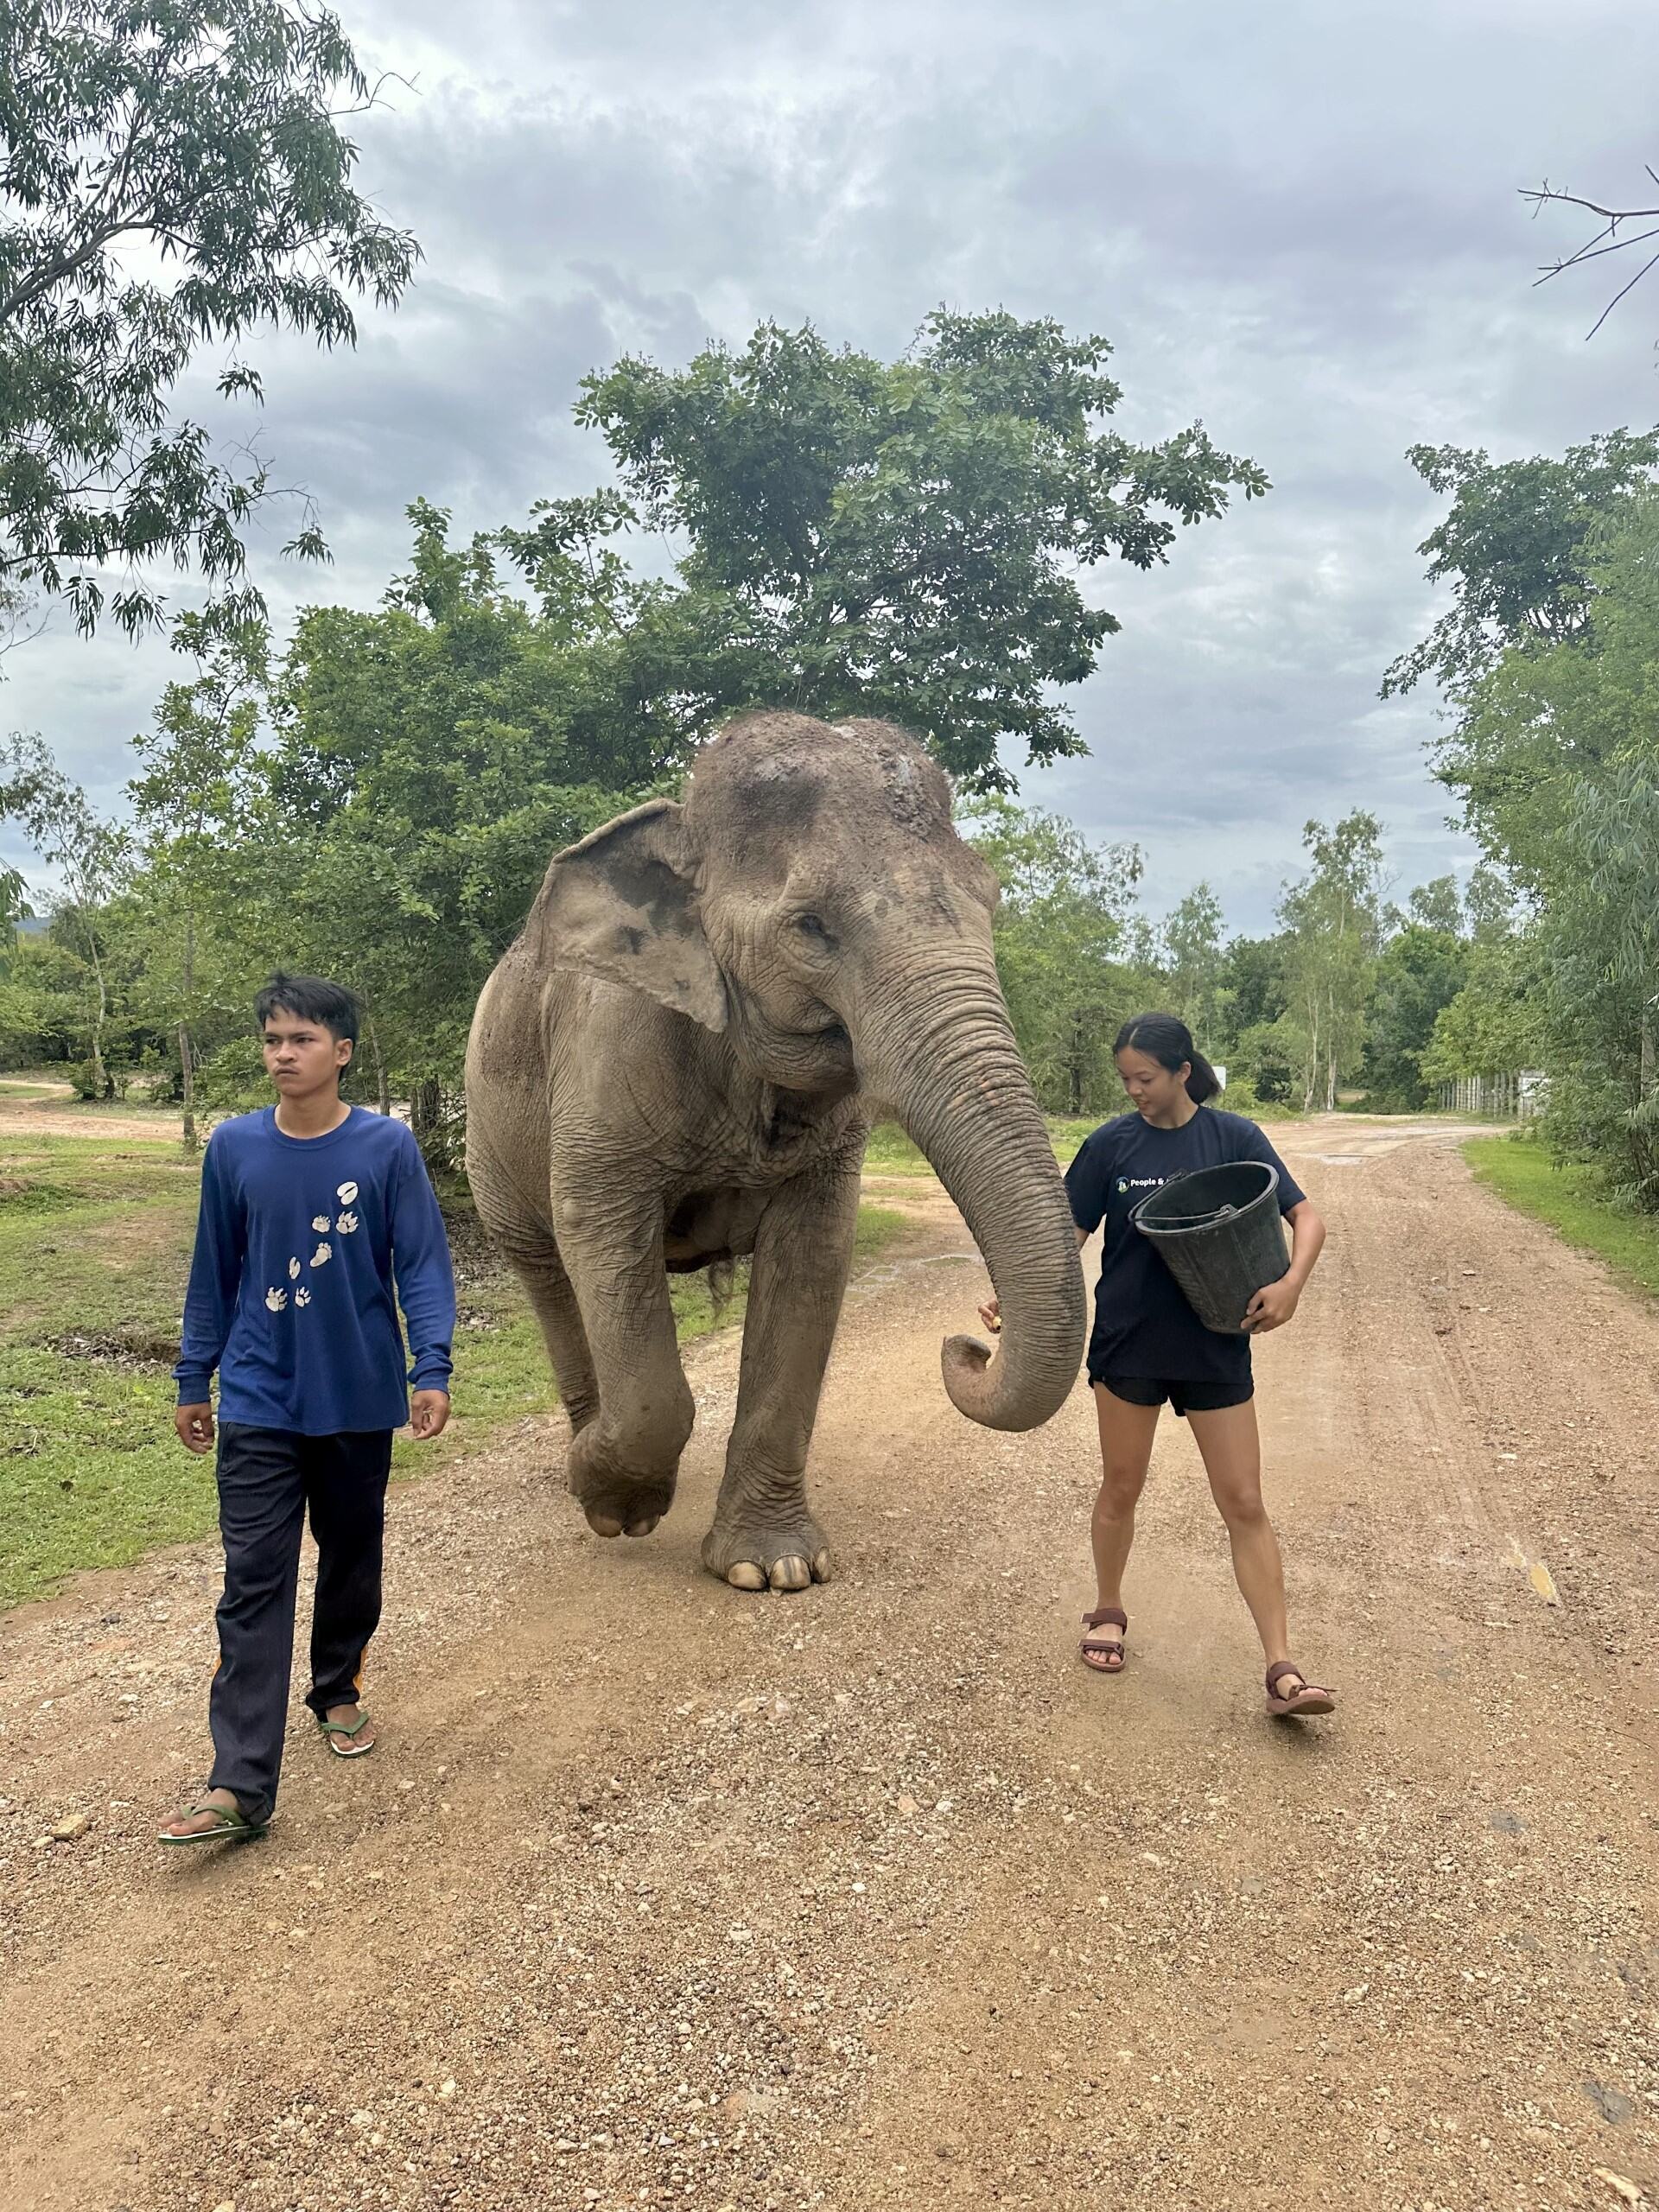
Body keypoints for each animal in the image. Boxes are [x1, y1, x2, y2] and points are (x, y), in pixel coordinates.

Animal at [468, 708, 1092, 1592]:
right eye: (811, 927)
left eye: (991, 902)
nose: (967, 1342)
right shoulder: (607, 1052)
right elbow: (600, 1231)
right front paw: (615, 1503)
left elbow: (812, 1260)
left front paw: (775, 1570)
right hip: (488, 1129)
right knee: (548, 1270)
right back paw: (582, 1460)